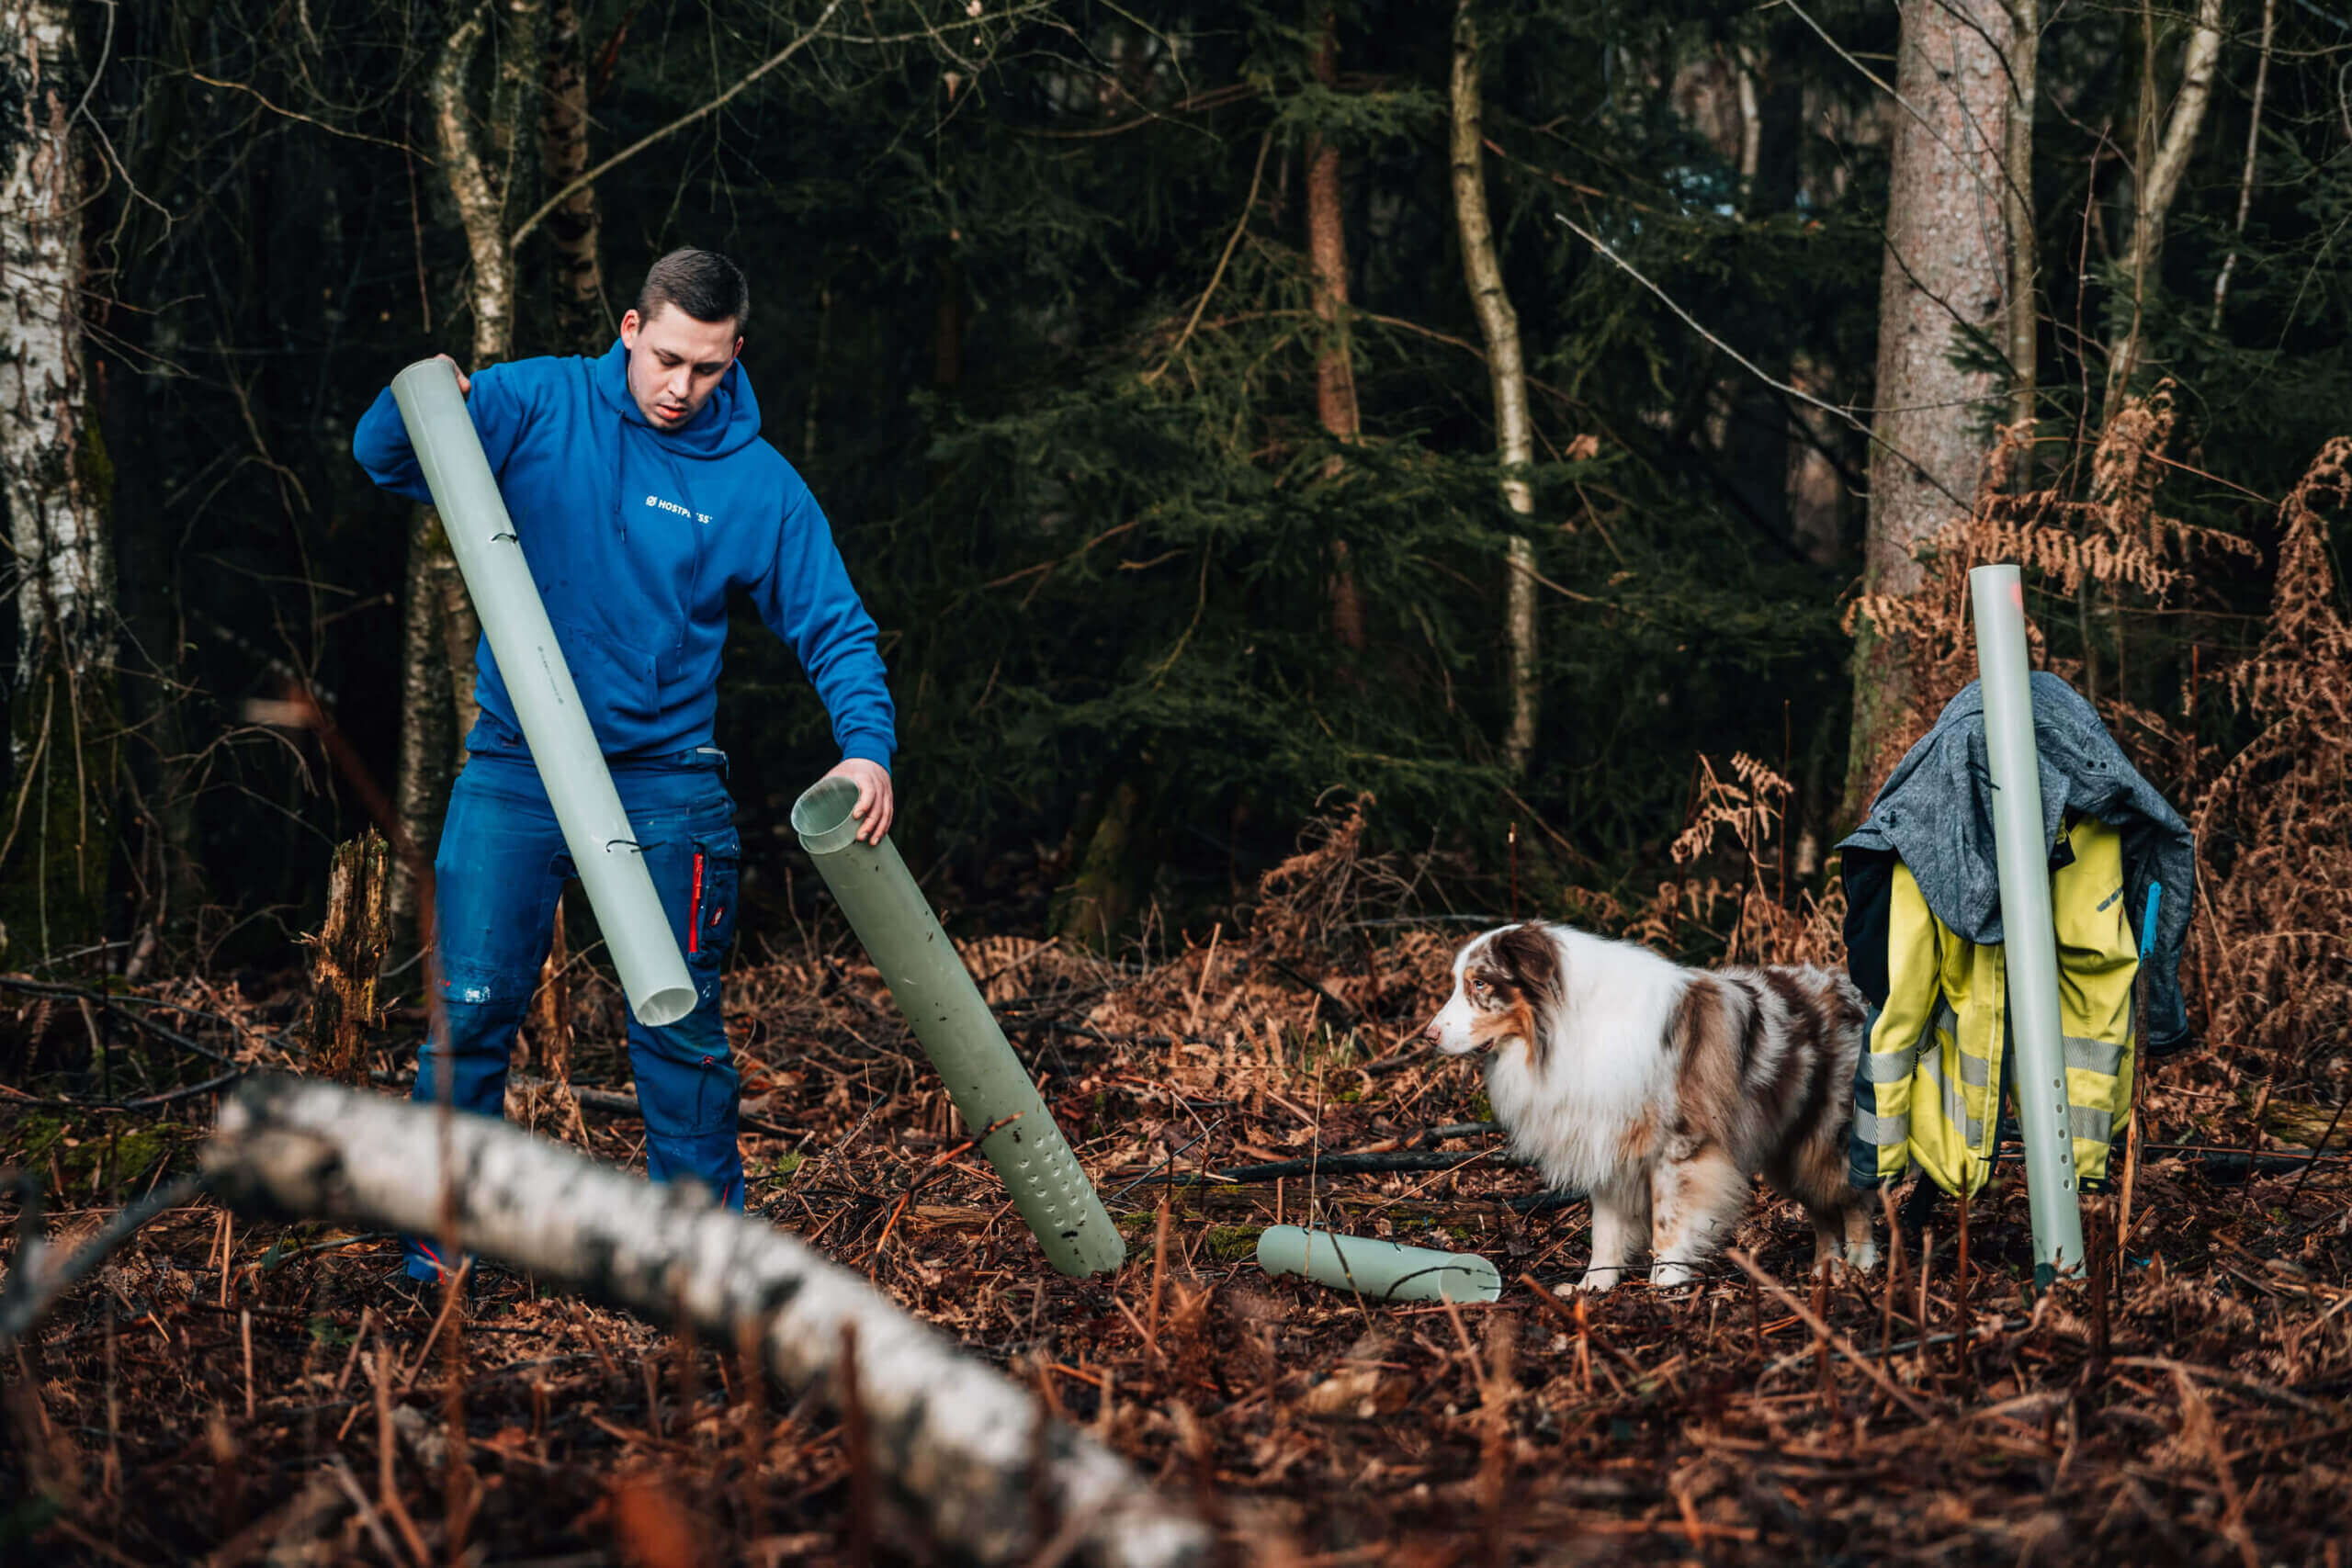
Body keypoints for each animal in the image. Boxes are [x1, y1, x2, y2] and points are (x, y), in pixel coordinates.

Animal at [1420, 921, 1882, 1288]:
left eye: (1479, 983)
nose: (1429, 1035)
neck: (1567, 1026)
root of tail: (1853, 990)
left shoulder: (1680, 1147)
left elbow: (1668, 1224)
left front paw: (1665, 1285)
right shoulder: (1606, 1140)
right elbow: (1605, 1231)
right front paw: (1594, 1288)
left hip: (1829, 1134)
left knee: (1854, 1196)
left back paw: (1861, 1264)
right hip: (1792, 1148)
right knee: (1822, 1207)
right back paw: (1825, 1268)